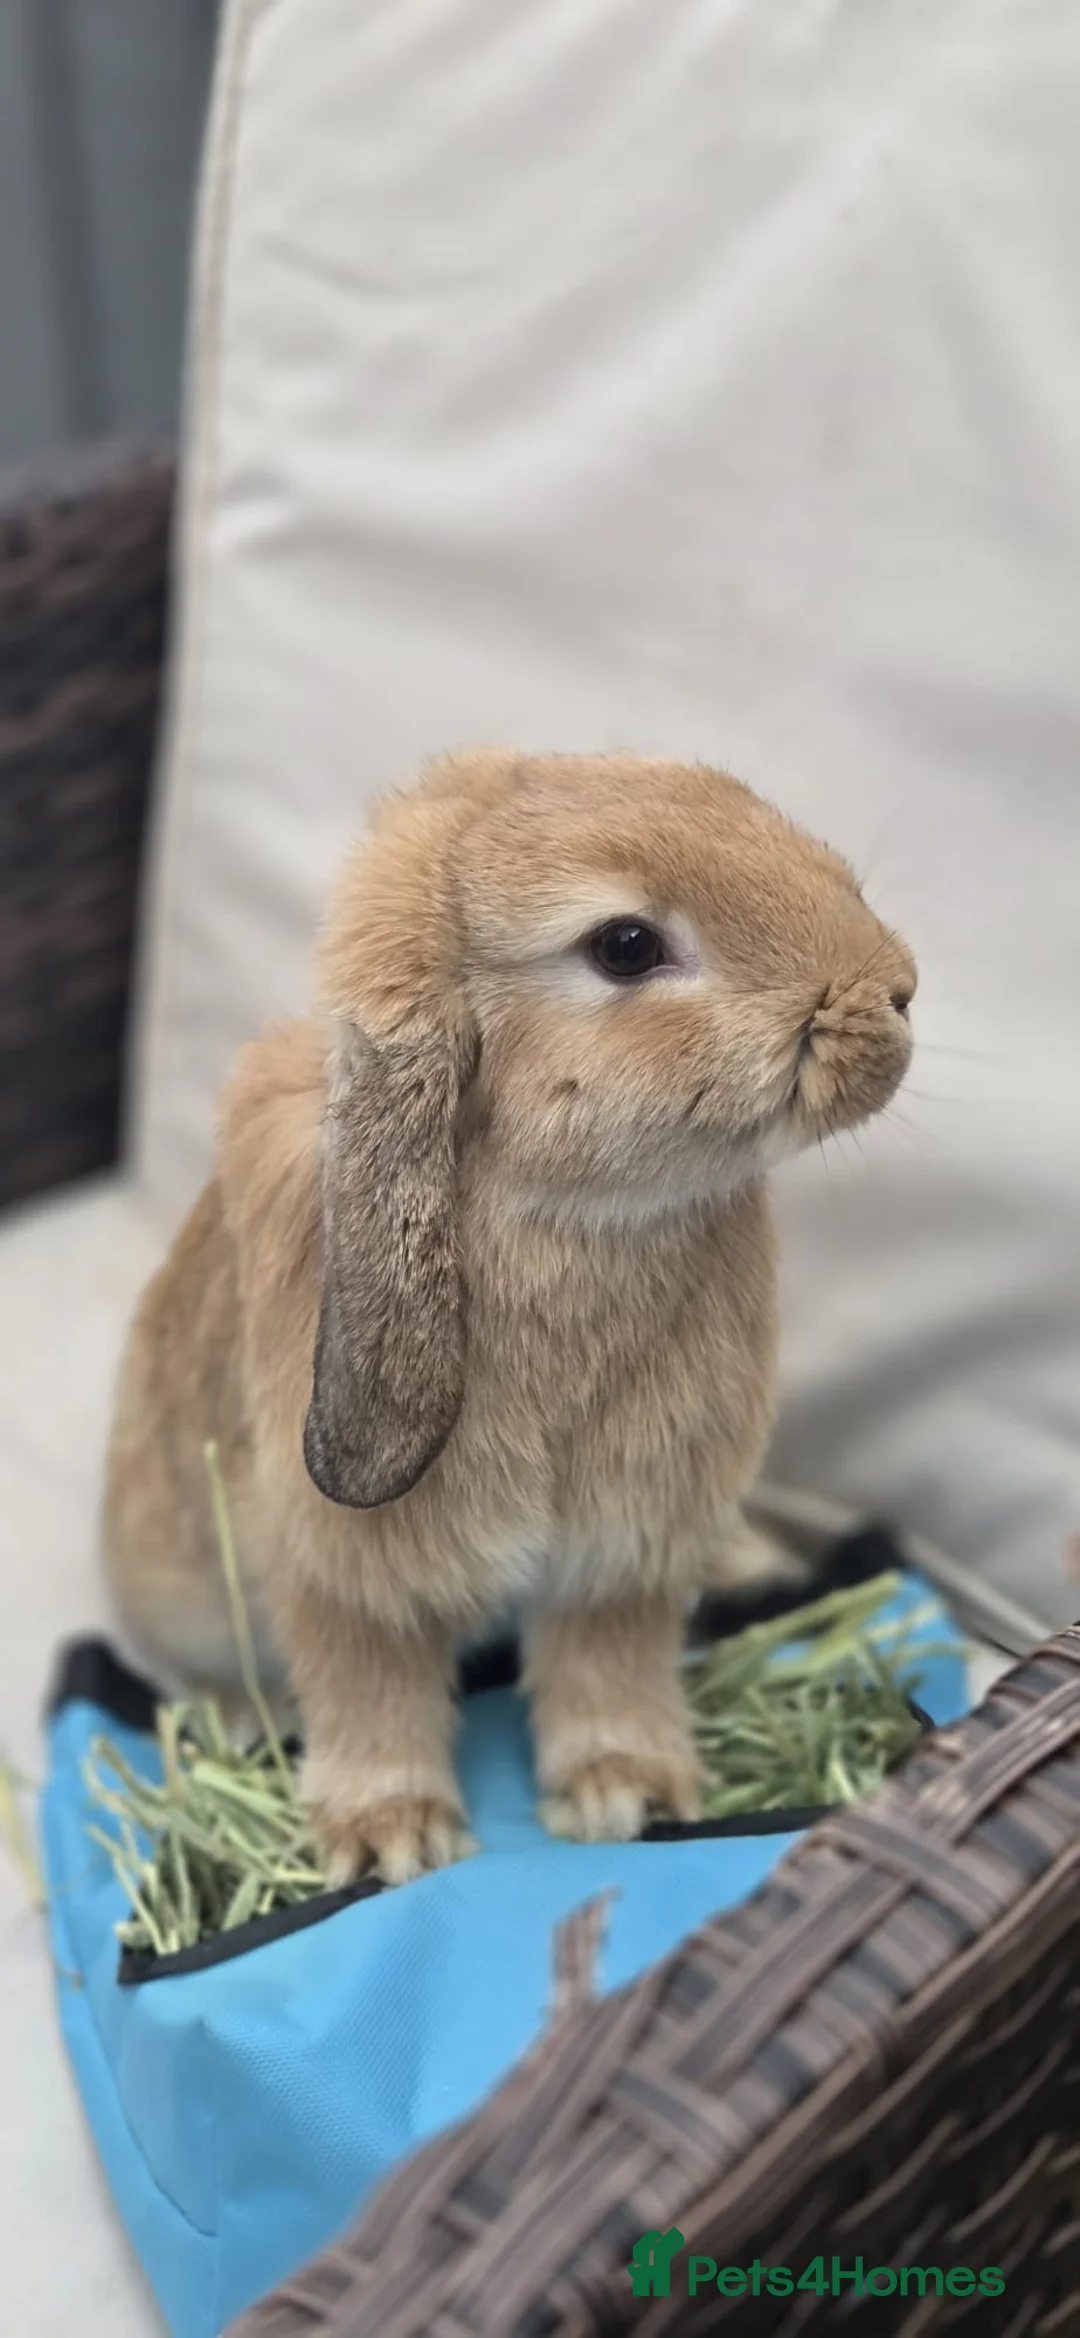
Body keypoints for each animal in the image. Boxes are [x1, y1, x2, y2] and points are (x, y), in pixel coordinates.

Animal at [103, 749, 916, 1883]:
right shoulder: (348, 1578)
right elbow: (373, 1694)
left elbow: (605, 1669)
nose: (897, 990)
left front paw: (626, 1796)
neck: (566, 1214)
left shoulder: (622, 1547)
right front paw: (392, 1841)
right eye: (626, 945)